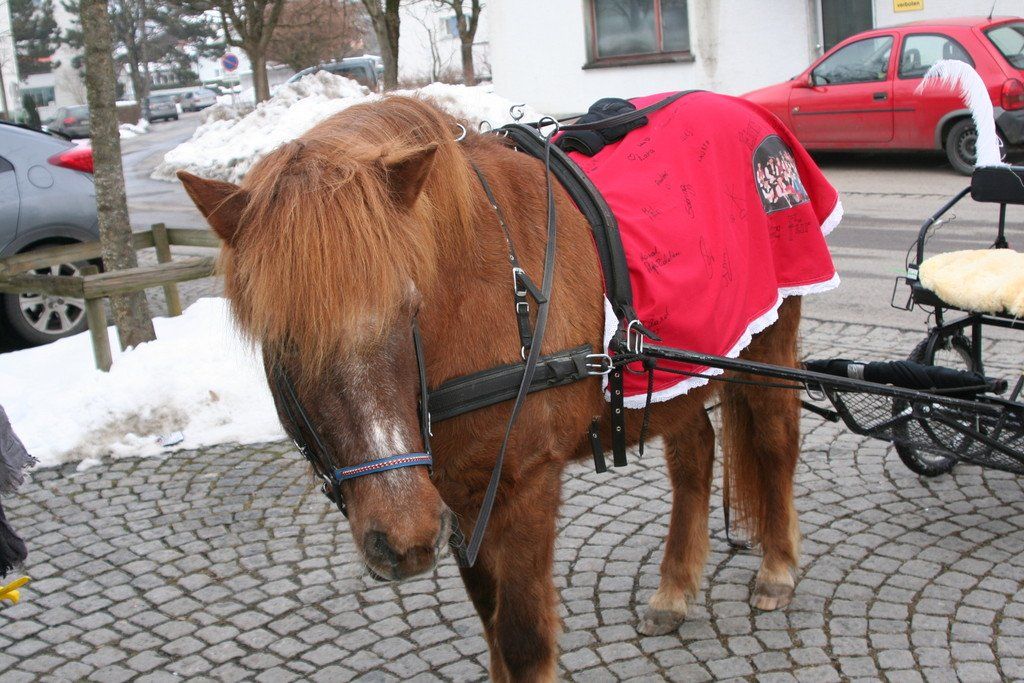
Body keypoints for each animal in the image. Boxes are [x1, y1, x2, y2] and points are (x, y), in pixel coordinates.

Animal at [178, 94, 809, 682]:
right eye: (281, 340)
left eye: (409, 309)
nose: (402, 535)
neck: (490, 293)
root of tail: (751, 112)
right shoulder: (459, 495)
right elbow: (492, 626)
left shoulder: (525, 487)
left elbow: (522, 640)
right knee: (694, 453)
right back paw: (675, 590)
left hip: (766, 346)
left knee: (775, 440)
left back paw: (777, 569)